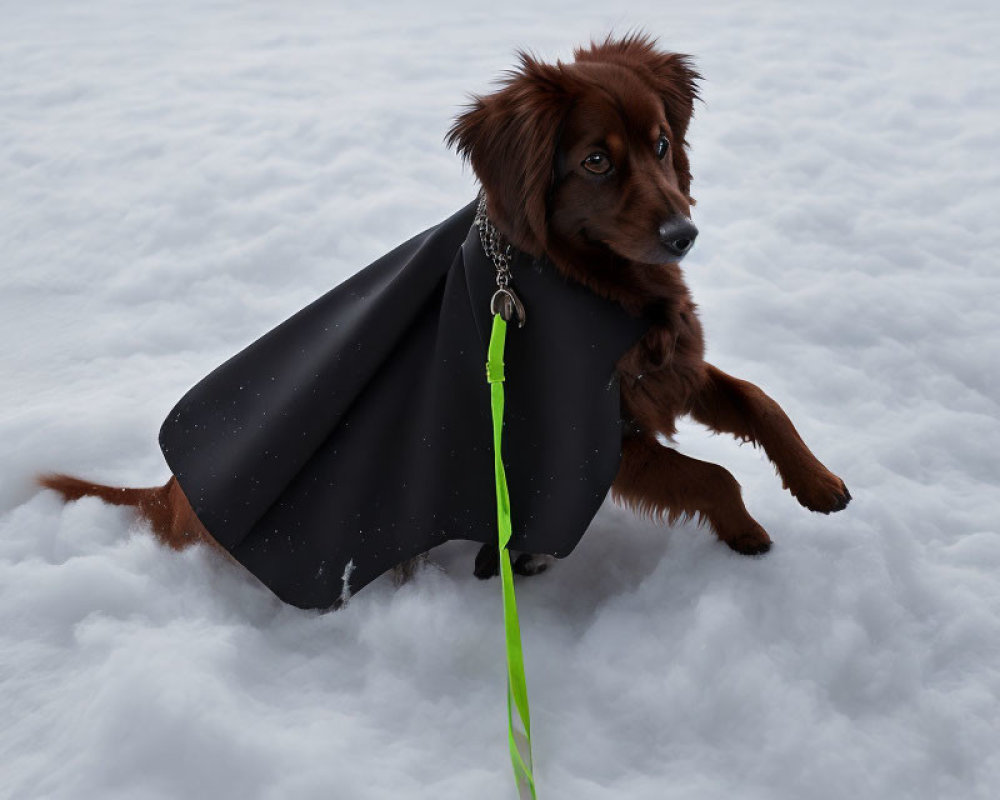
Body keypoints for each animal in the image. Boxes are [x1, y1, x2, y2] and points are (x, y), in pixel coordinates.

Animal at [41, 32, 852, 580]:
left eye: (660, 144)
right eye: (596, 160)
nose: (684, 235)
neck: (600, 287)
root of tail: (171, 494)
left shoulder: (670, 368)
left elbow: (760, 400)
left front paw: (817, 482)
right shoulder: (594, 433)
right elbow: (712, 476)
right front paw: (745, 530)